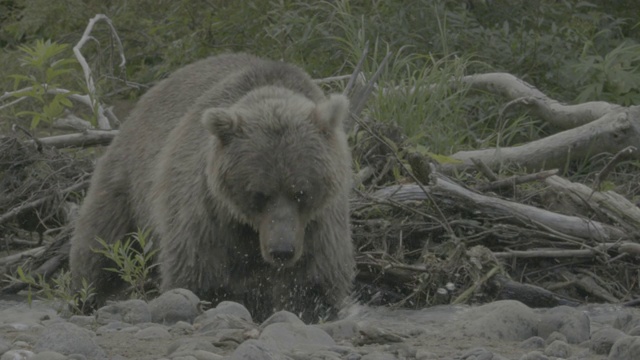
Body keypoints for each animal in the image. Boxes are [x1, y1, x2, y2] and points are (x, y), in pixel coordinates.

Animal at [70, 52, 356, 322]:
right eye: (259, 194)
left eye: (301, 192)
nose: (282, 251)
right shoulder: (207, 213)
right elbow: (197, 271)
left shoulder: (320, 222)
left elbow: (315, 276)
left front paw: (309, 307)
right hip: (128, 183)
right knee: (102, 243)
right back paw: (86, 296)